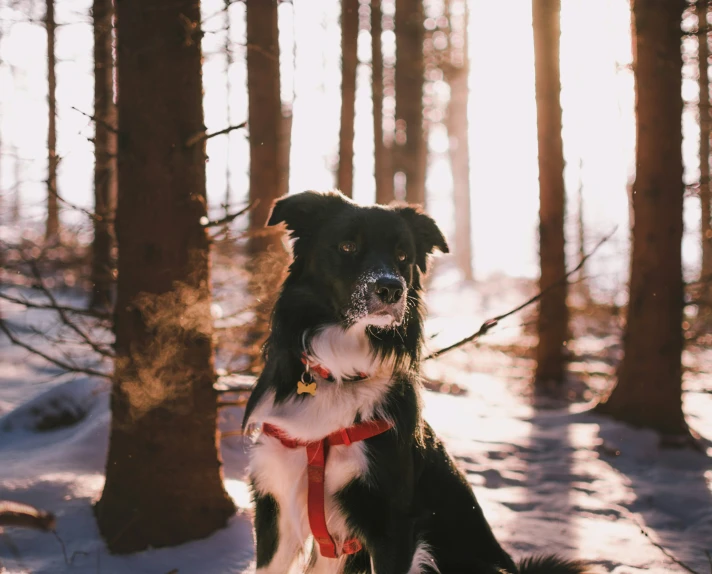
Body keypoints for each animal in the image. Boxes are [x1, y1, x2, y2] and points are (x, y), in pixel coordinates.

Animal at [242, 194, 588, 574]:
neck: (341, 370)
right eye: (348, 246)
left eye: (403, 256)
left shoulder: (392, 523)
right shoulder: (276, 504)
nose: (392, 288)